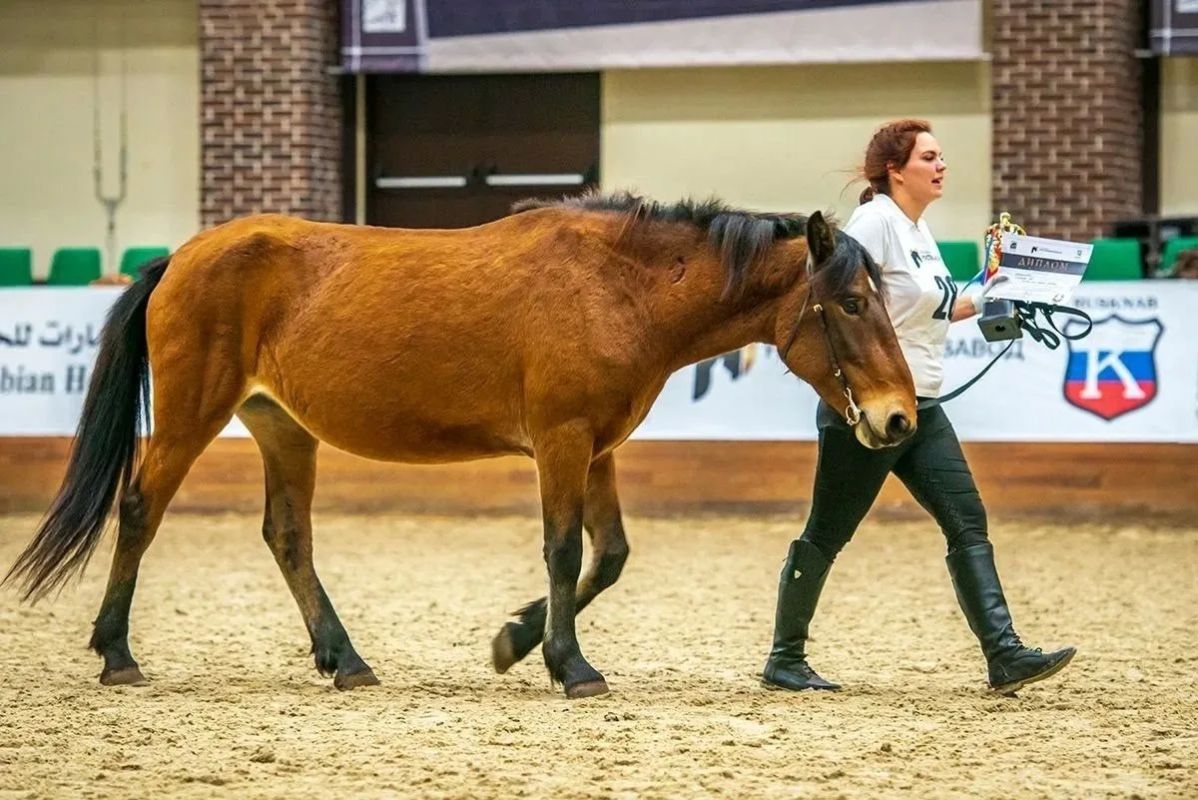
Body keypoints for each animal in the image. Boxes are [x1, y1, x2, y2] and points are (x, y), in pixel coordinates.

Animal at [5, 191, 916, 698]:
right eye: (851, 304)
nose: (899, 418)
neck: (616, 287)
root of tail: (182, 255)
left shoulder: (598, 448)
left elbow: (610, 555)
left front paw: (514, 643)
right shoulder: (560, 441)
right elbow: (562, 550)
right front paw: (569, 666)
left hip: (282, 428)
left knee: (288, 537)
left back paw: (346, 660)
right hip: (193, 416)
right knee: (139, 510)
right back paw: (118, 654)